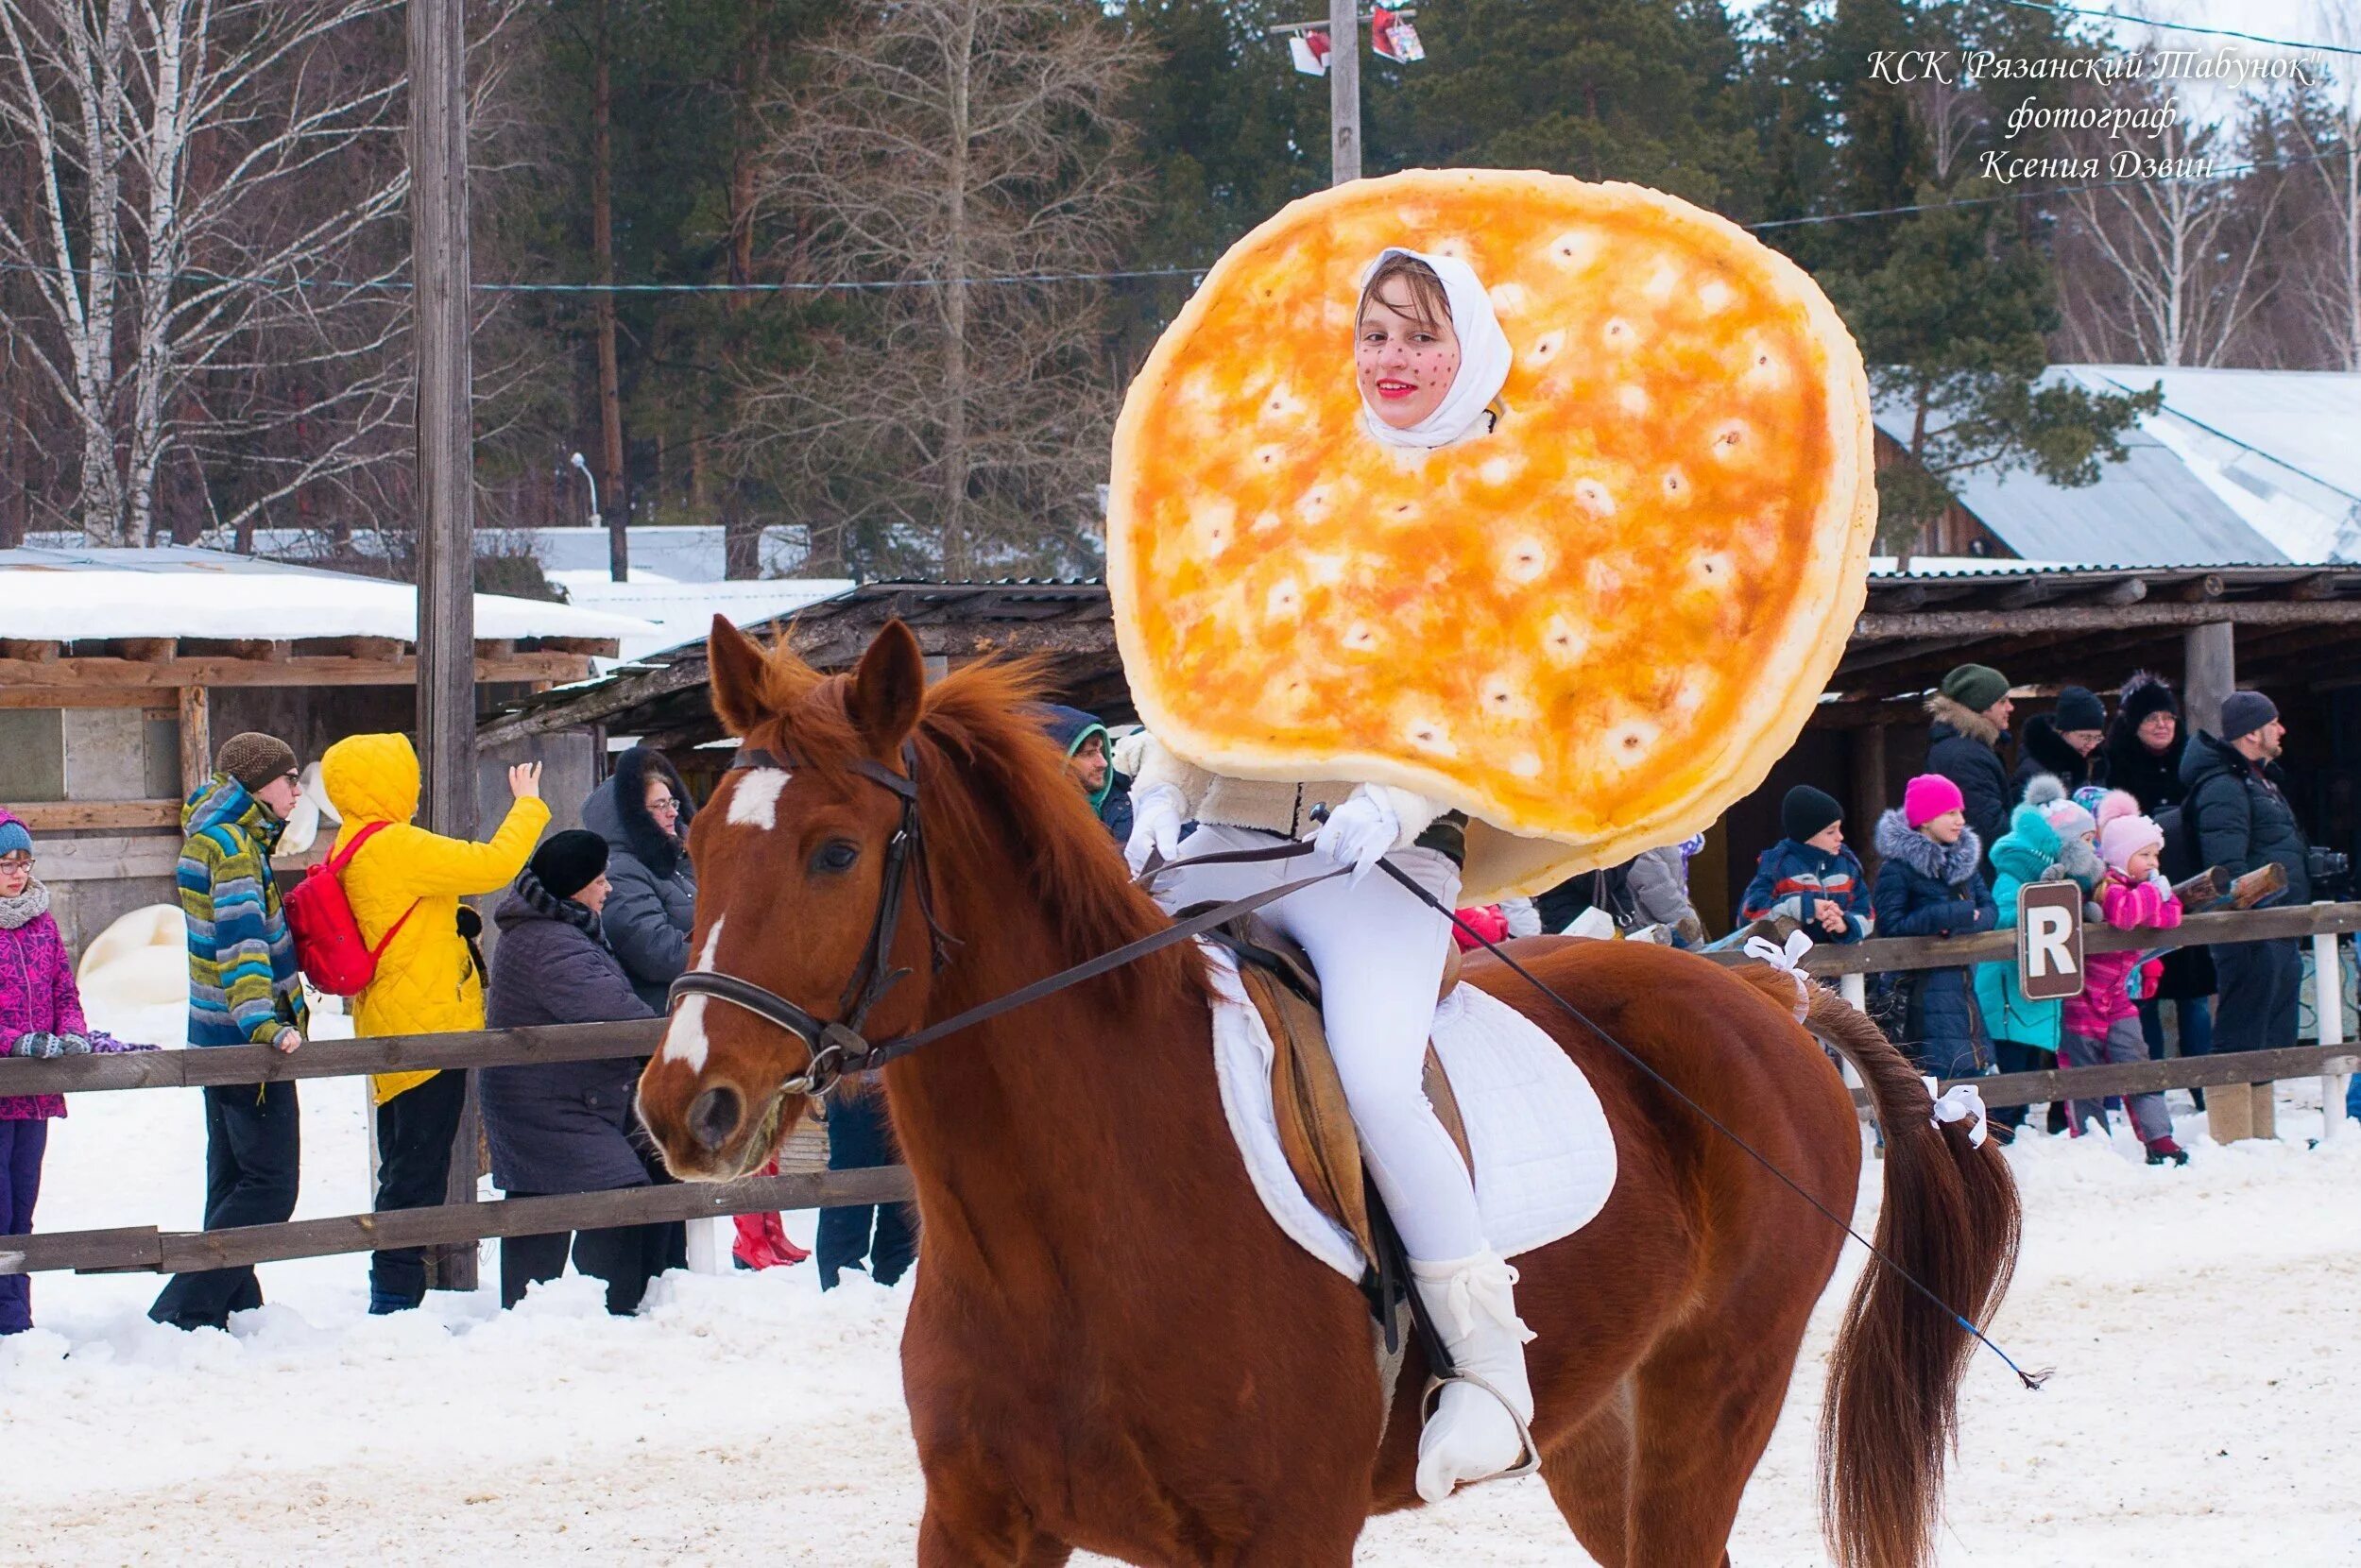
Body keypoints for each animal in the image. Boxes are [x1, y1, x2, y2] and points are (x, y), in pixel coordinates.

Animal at [637, 619, 2021, 1559]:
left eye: (833, 854)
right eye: (694, 839)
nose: (682, 1107)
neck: (1061, 1230)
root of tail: (1766, 995)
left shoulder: (1282, 1534)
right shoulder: (978, 1524)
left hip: (1706, 1403)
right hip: (1600, 1434)